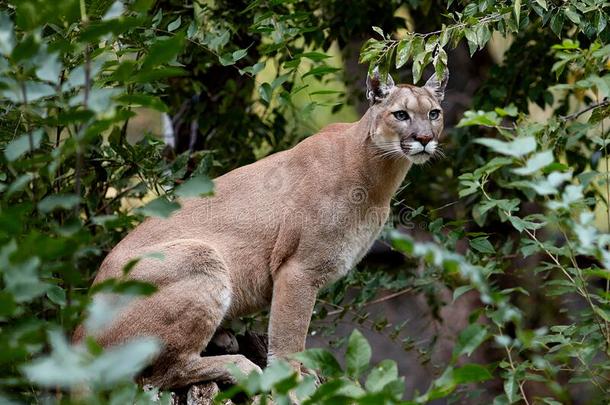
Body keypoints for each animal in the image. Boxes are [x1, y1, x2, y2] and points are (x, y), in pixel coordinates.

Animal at [75, 68, 446, 386]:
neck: (379, 176)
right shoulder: (299, 270)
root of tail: (78, 334)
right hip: (200, 256)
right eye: (400, 114)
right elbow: (289, 338)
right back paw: (240, 366)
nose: (424, 138)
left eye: (434, 113)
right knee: (161, 374)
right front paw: (292, 383)